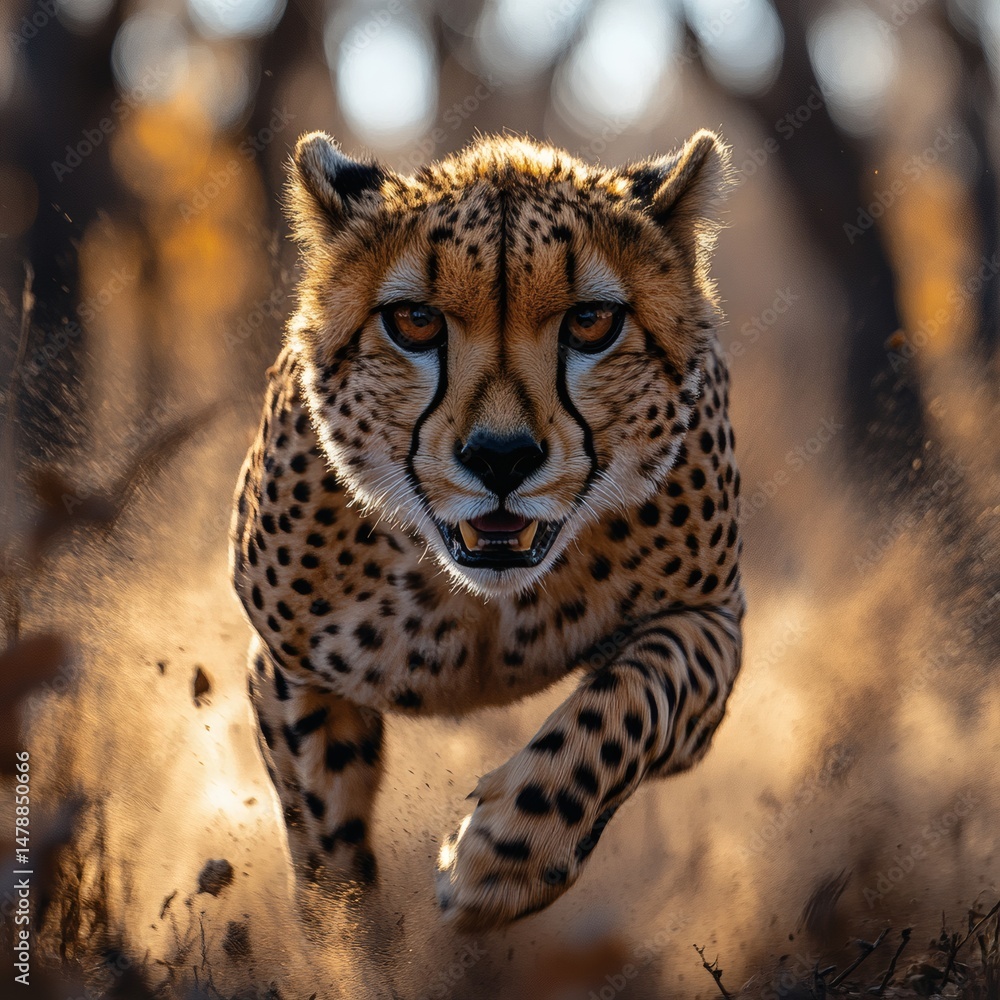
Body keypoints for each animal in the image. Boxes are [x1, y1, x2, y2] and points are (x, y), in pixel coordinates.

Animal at [230, 127, 745, 932]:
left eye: (592, 323)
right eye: (414, 322)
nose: (501, 457)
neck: (480, 597)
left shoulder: (713, 619)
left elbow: (633, 701)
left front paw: (507, 855)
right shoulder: (290, 665)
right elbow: (324, 838)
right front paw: (348, 942)